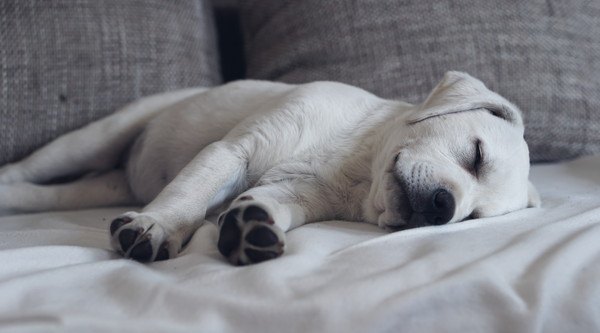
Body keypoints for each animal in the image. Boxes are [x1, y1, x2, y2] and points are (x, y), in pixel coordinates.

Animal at [0, 70, 540, 264]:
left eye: (471, 218)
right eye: (475, 155)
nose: (445, 207)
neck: (357, 164)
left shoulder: (295, 194)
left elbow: (267, 203)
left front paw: (249, 227)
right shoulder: (232, 153)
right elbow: (188, 197)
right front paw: (158, 226)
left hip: (101, 187)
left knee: (49, 194)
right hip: (91, 140)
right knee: (30, 169)